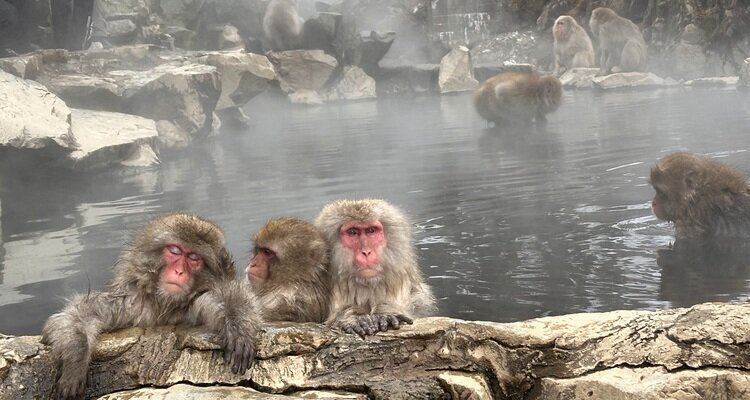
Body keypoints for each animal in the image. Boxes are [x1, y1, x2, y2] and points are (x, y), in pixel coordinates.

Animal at [42, 213, 260, 399]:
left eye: (194, 258)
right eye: (175, 251)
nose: (179, 271)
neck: (163, 303)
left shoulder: (194, 304)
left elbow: (223, 298)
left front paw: (238, 323)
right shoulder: (129, 303)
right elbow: (77, 315)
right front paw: (75, 362)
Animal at [314, 199, 437, 337]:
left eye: (371, 230)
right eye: (352, 232)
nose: (366, 252)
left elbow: (418, 300)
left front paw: (386, 312)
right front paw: (354, 316)